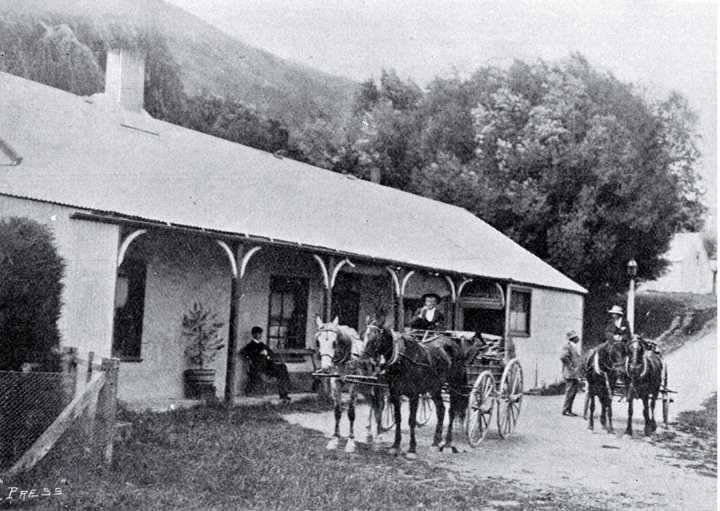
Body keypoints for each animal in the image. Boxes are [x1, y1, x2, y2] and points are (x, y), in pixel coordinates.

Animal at [314, 318, 386, 454]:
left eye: (334, 342)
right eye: (318, 342)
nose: (326, 367)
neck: (346, 359)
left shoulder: (354, 385)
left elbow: (351, 413)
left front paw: (351, 442)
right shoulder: (335, 384)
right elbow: (337, 412)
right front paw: (334, 440)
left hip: (378, 387)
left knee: (380, 406)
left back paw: (379, 435)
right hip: (365, 388)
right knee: (372, 403)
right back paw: (368, 430)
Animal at [360, 318, 466, 458]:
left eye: (374, 339)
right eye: (362, 336)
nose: (362, 361)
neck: (402, 359)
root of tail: (453, 343)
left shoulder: (414, 395)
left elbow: (411, 420)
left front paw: (411, 449)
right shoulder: (394, 393)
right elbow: (398, 418)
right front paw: (395, 446)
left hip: (454, 386)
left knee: (451, 411)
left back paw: (448, 444)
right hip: (434, 388)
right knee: (441, 410)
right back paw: (435, 443)